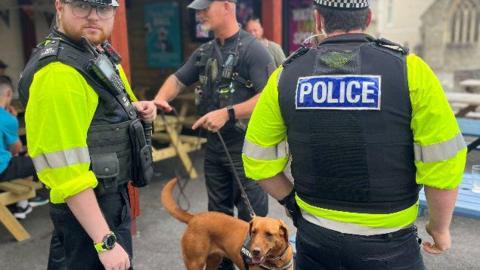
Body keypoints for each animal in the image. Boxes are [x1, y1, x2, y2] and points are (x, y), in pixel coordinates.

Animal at [160, 177, 292, 270]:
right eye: (253, 232)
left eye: (269, 234)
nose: (254, 251)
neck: (275, 262)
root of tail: (194, 217)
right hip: (195, 263)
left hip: (214, 260)